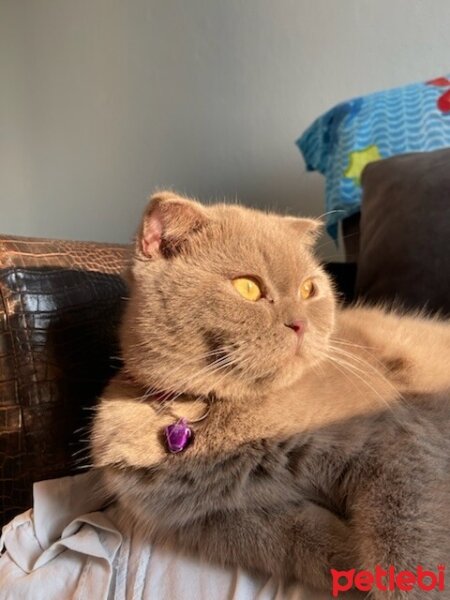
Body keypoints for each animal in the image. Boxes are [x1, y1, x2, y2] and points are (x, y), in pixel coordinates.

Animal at [89, 193, 448, 600]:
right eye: (248, 288)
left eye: (309, 290)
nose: (300, 323)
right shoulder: (205, 521)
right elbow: (301, 539)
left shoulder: (398, 443)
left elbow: (408, 544)